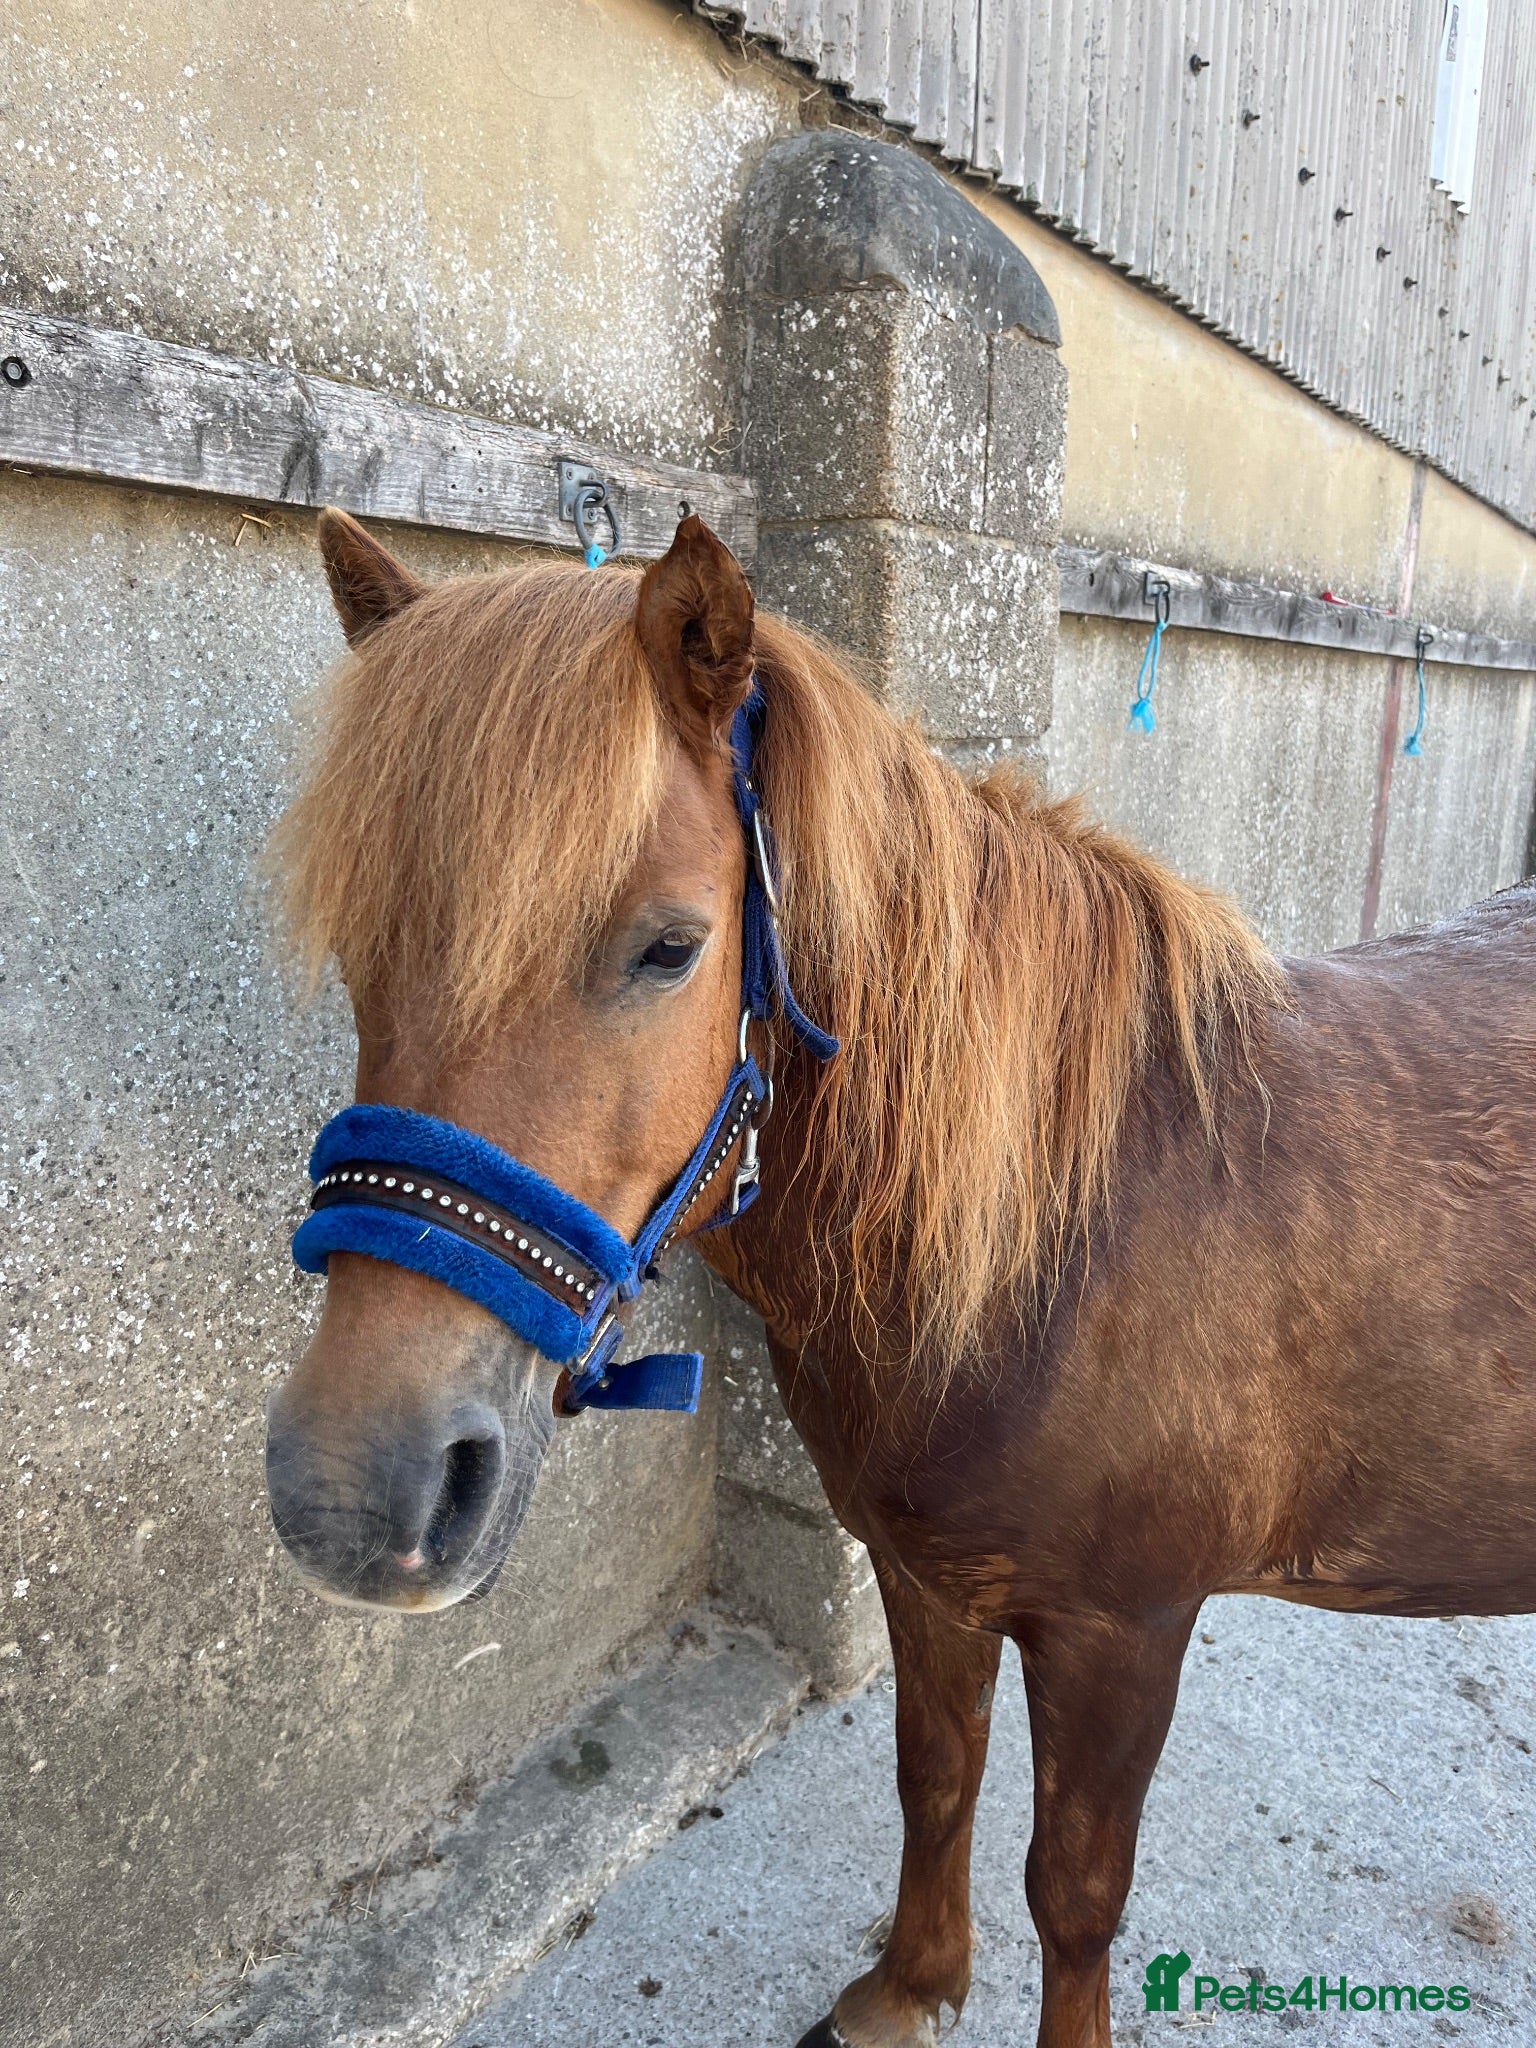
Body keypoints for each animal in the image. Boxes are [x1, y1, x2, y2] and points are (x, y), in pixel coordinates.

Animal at [263, 507, 1536, 2048]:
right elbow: (934, 1774)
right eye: (360, 948)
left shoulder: (1121, 1633)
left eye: (670, 946)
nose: (350, 1491)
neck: (1070, 1239)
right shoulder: (926, 1577)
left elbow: (1075, 1895)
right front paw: (909, 1987)